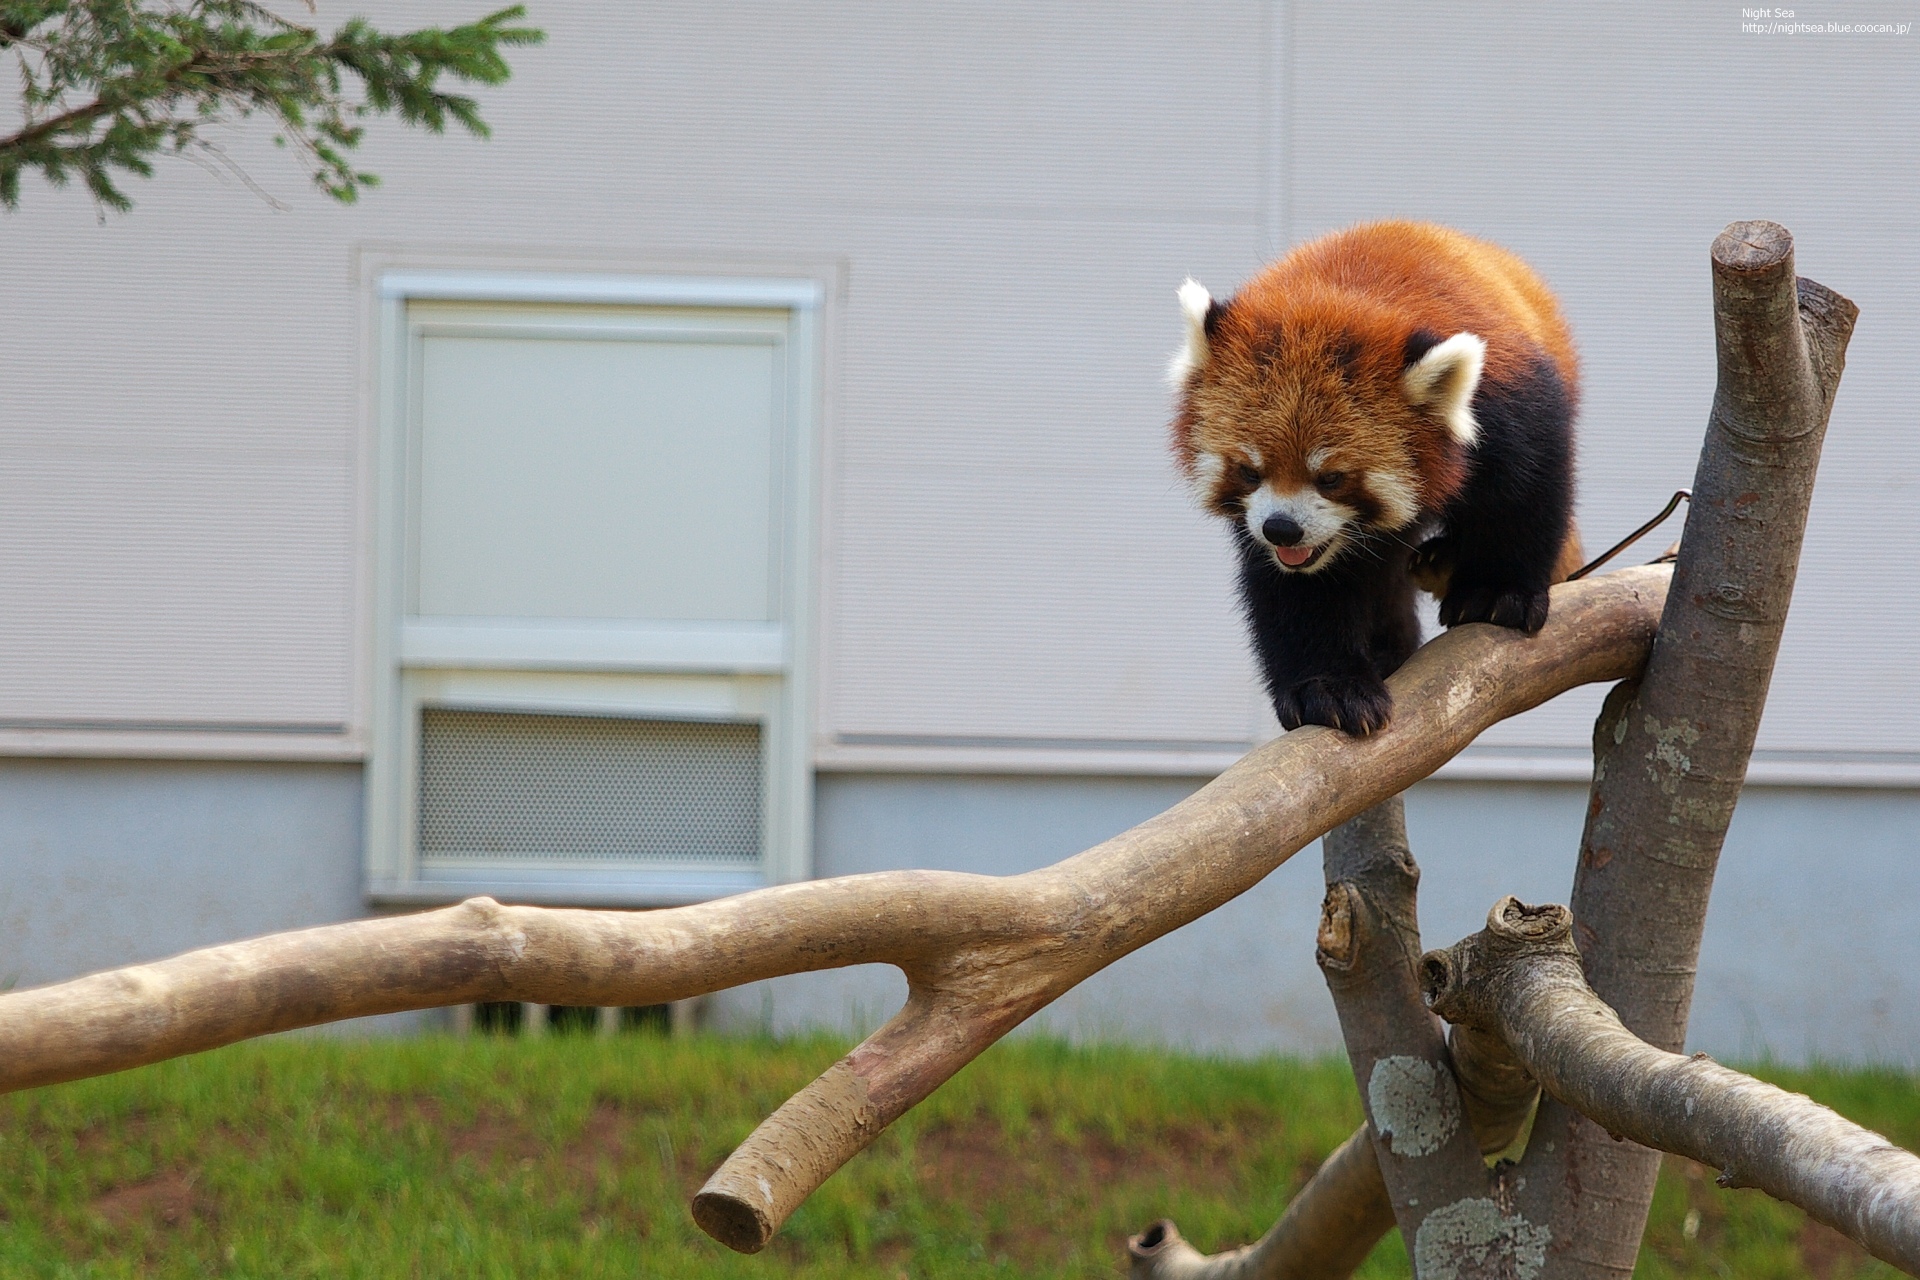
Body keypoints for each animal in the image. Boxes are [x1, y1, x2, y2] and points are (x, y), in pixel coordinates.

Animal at [1167, 221, 1589, 736]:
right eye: (1249, 471)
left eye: (1332, 478)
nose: (1281, 529)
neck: (1335, 300)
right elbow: (1299, 588)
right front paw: (1328, 689)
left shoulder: (1506, 399)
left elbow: (1522, 494)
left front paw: (1496, 590)